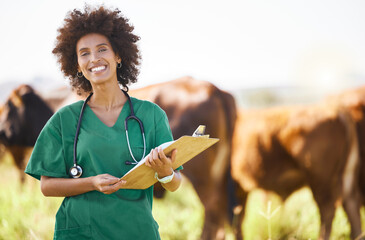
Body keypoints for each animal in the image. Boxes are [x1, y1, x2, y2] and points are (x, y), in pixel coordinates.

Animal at [229, 101, 360, 238]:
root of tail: (336, 111)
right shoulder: (241, 190)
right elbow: (239, 220)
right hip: (346, 177)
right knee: (351, 206)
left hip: (321, 181)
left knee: (327, 210)